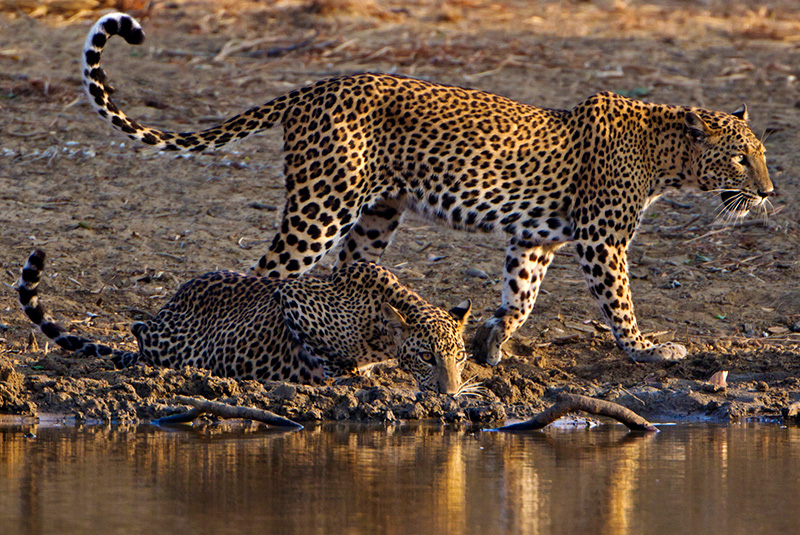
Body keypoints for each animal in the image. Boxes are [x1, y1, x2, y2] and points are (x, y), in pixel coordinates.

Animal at [17, 249, 476, 396]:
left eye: (459, 356)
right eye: (426, 357)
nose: (451, 393)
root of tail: (168, 307)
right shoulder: (293, 299)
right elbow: (326, 357)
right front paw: (337, 373)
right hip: (168, 341)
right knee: (137, 330)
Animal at [83, 13, 776, 364]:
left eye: (764, 157)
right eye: (742, 160)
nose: (770, 192)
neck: (666, 157)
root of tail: (314, 87)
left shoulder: (537, 240)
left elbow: (521, 296)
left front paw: (492, 342)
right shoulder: (602, 241)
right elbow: (619, 302)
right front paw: (646, 348)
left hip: (375, 214)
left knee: (348, 270)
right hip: (322, 202)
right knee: (270, 272)